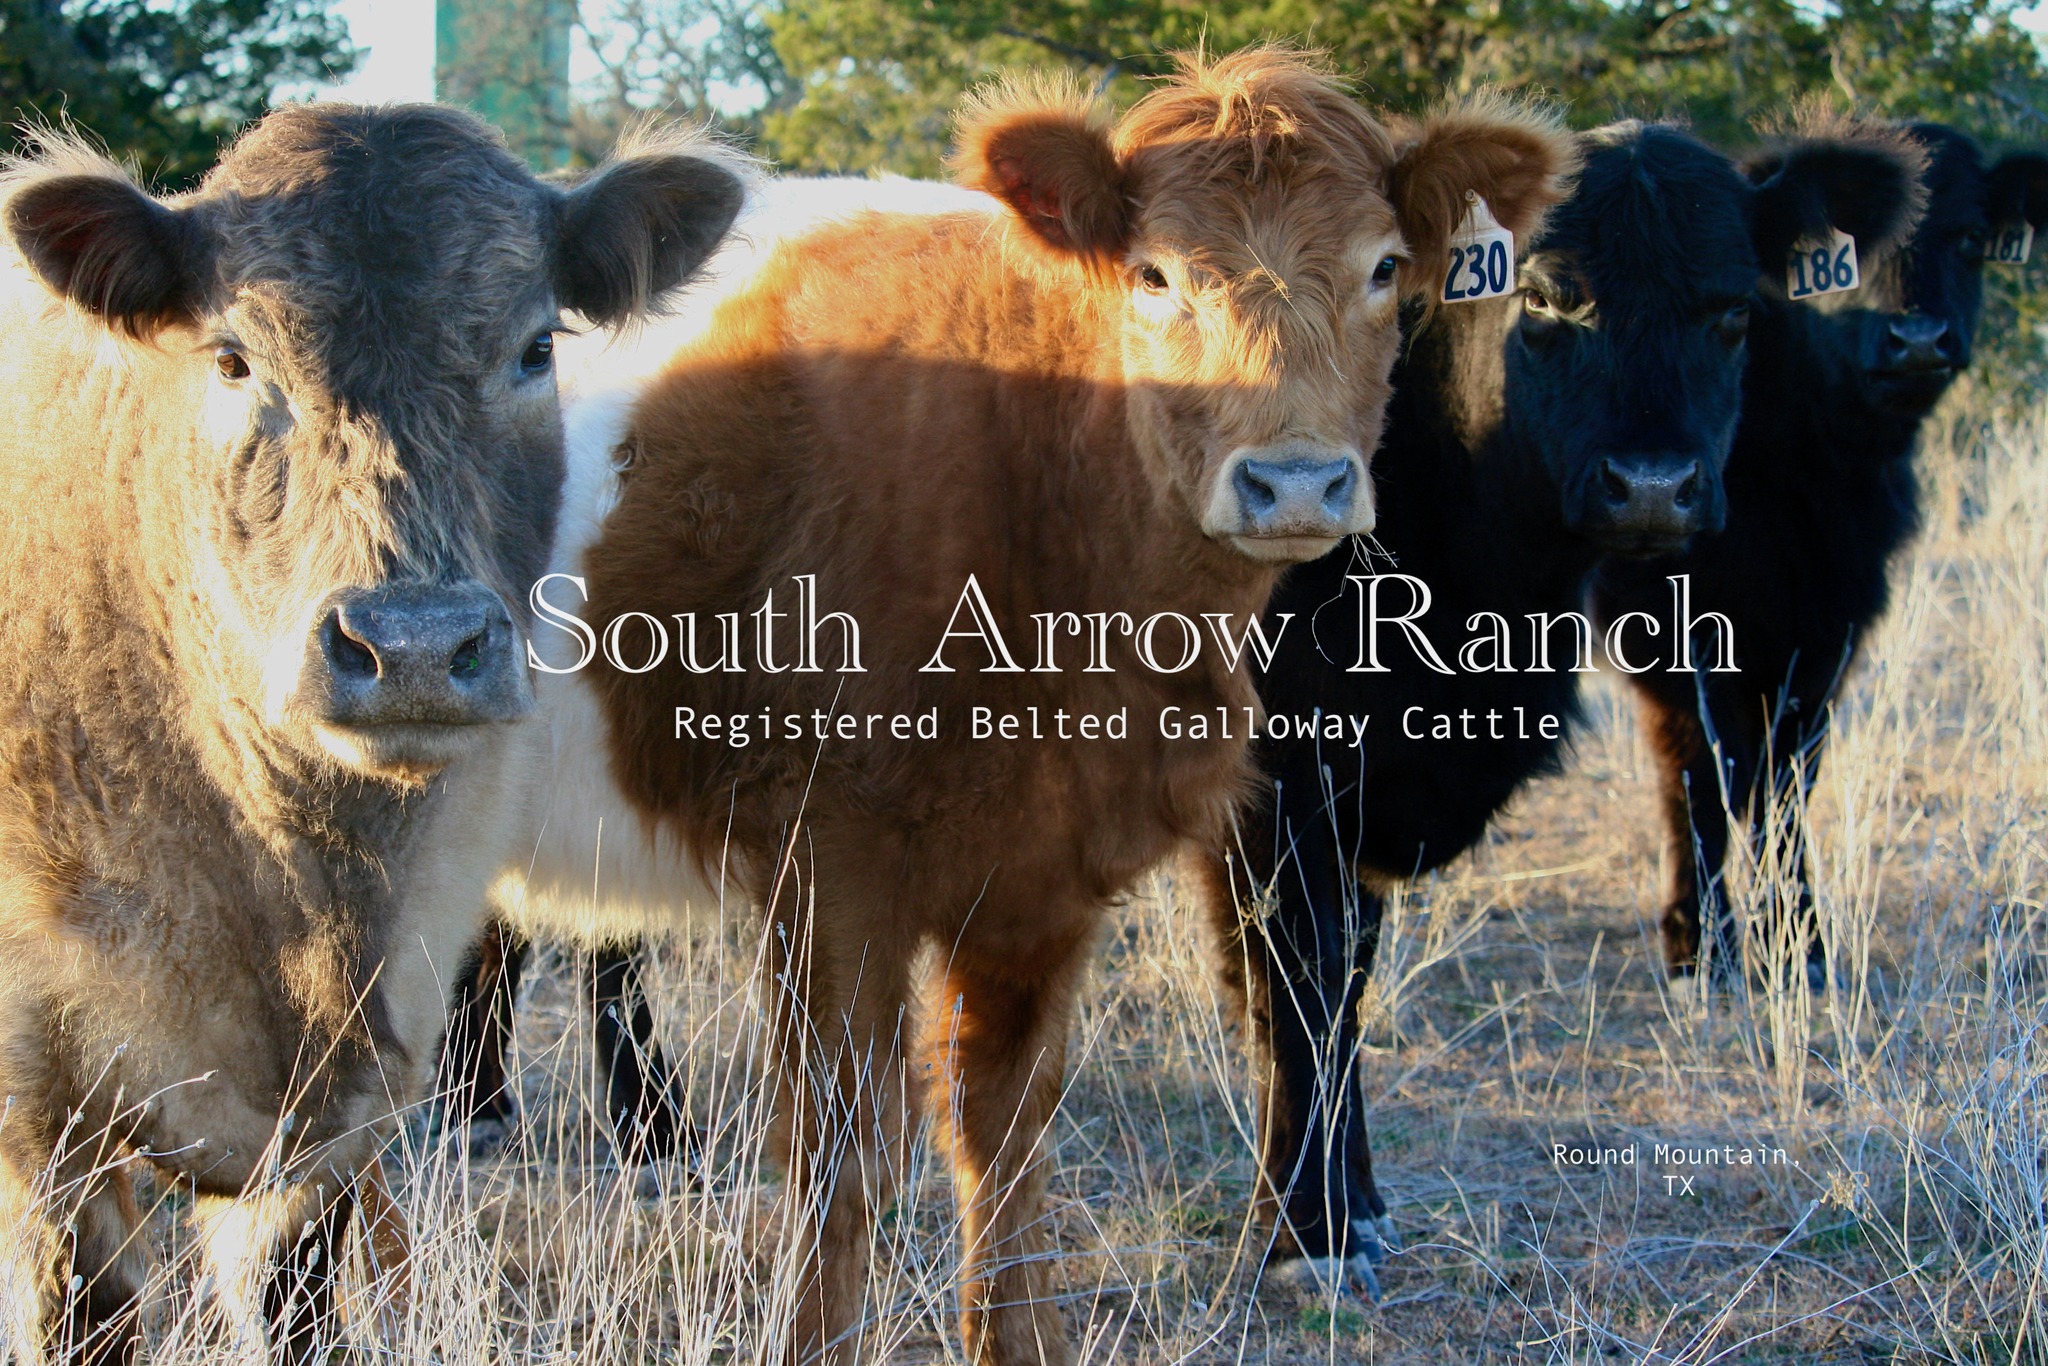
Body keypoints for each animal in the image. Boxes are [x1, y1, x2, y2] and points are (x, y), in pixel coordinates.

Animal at [0, 106, 741, 1364]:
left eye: (534, 348)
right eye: (232, 358)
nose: (415, 646)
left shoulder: (341, 1107)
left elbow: (296, 1304)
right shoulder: (45, 1120)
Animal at [477, 49, 1576, 1366]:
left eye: (1379, 269)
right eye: (1153, 273)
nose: (1296, 481)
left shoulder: (1043, 872)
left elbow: (1005, 1136)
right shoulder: (831, 860)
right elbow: (843, 1152)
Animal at [1195, 116, 1928, 1292]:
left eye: (1734, 310)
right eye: (1543, 298)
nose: (1652, 486)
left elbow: (1346, 980)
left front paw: (1360, 1203)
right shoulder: (1278, 790)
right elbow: (1298, 988)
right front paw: (1307, 1229)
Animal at [1593, 123, 2048, 987]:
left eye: (1970, 238)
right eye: (1853, 255)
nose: (1915, 340)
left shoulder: (1827, 632)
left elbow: (1788, 783)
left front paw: (1800, 939)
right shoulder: (1679, 637)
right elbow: (1703, 777)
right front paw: (1700, 938)